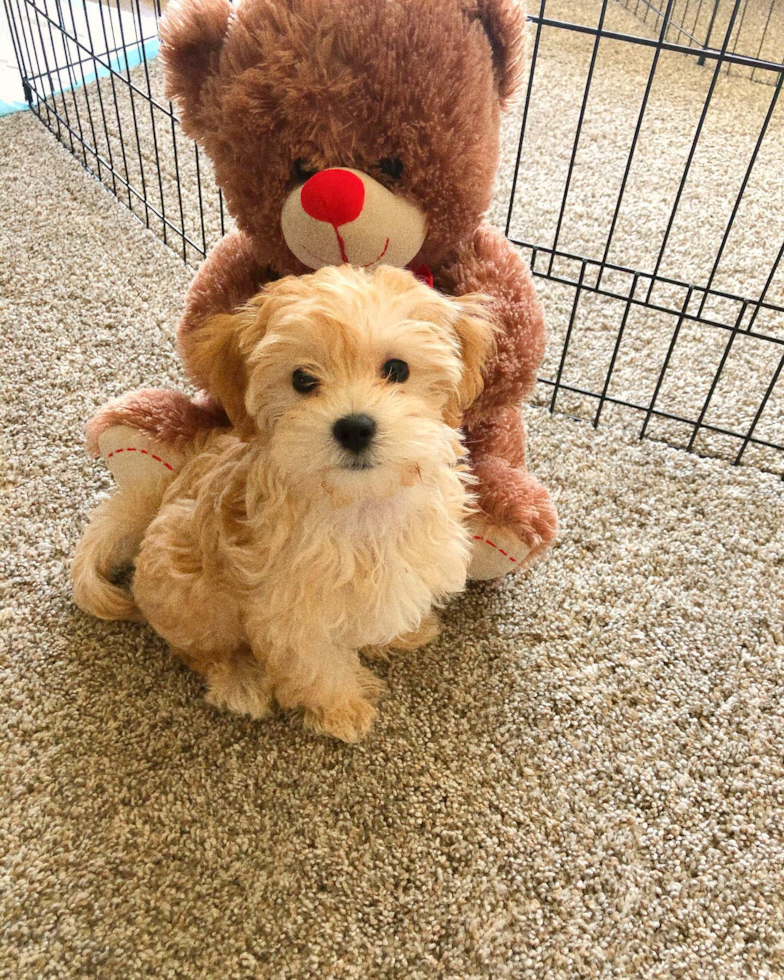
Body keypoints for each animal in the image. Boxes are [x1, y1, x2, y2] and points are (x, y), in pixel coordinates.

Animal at [72, 264, 490, 740]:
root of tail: (167, 492)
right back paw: (240, 679)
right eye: (302, 380)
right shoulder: (290, 614)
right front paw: (342, 709)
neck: (360, 502)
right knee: (197, 650)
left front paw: (399, 635)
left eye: (397, 369)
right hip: (187, 590)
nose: (355, 427)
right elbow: (317, 665)